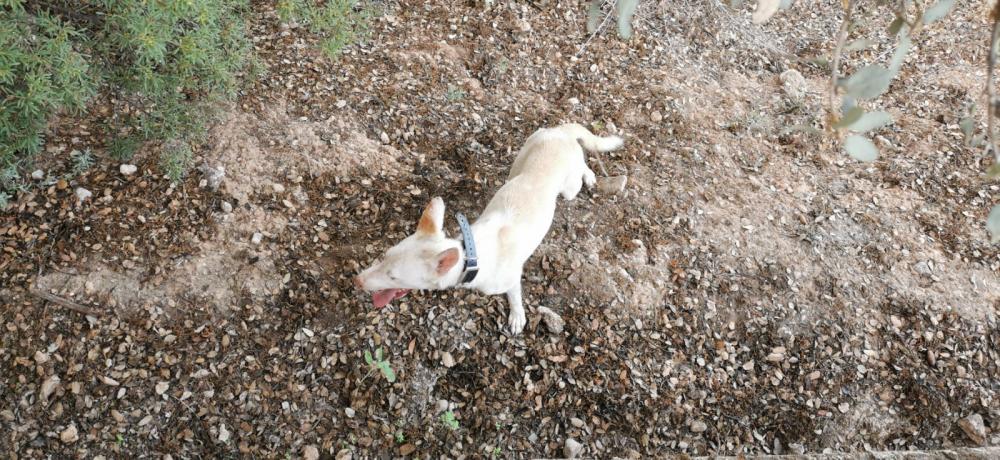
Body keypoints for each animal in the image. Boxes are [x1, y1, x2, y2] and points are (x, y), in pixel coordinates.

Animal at [356, 125, 620, 334]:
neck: (471, 256)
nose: (357, 281)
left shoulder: (511, 281)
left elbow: (515, 298)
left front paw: (517, 317)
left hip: (568, 189)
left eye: (394, 277)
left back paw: (589, 175)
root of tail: (560, 131)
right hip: (520, 162)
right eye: (384, 256)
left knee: (582, 164)